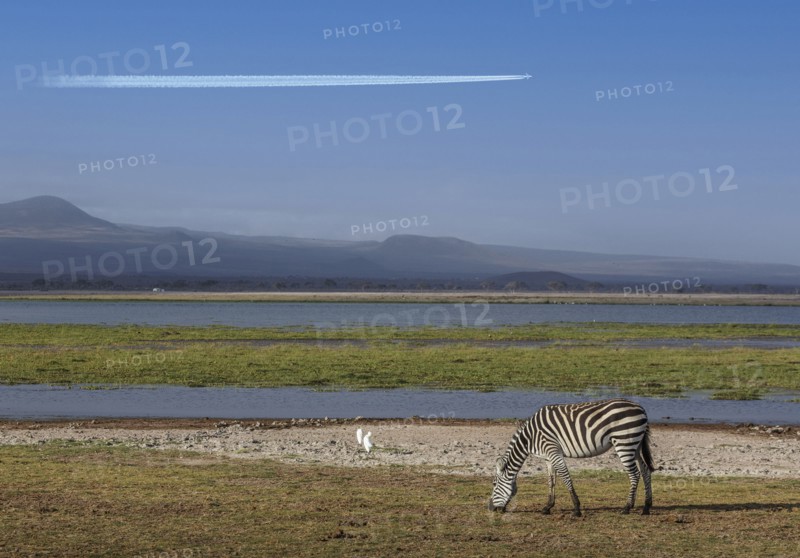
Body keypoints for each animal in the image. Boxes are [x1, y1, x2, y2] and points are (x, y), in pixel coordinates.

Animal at [488, 398, 654, 516]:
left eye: (494, 484)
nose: (489, 508)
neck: (530, 437)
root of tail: (641, 408)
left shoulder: (553, 450)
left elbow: (565, 477)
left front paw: (576, 508)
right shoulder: (547, 457)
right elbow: (551, 481)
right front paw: (547, 507)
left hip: (624, 443)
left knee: (635, 474)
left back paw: (627, 507)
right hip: (635, 444)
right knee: (645, 471)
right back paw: (646, 507)